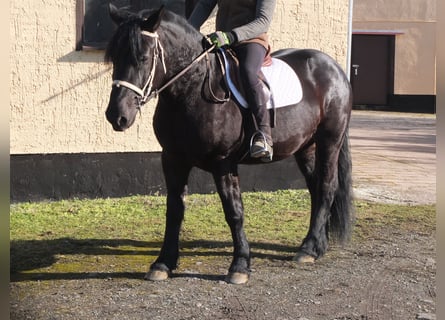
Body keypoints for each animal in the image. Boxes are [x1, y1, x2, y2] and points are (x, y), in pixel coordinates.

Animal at [104, 5, 354, 284]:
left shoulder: (223, 162)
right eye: (114, 57)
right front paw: (163, 263)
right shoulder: (172, 159)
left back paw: (309, 248)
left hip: (329, 140)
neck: (193, 90)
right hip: (305, 147)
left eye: (144, 57)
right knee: (316, 189)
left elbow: (234, 211)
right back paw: (317, 245)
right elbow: (175, 210)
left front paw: (240, 265)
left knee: (327, 186)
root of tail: (332, 66)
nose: (117, 116)